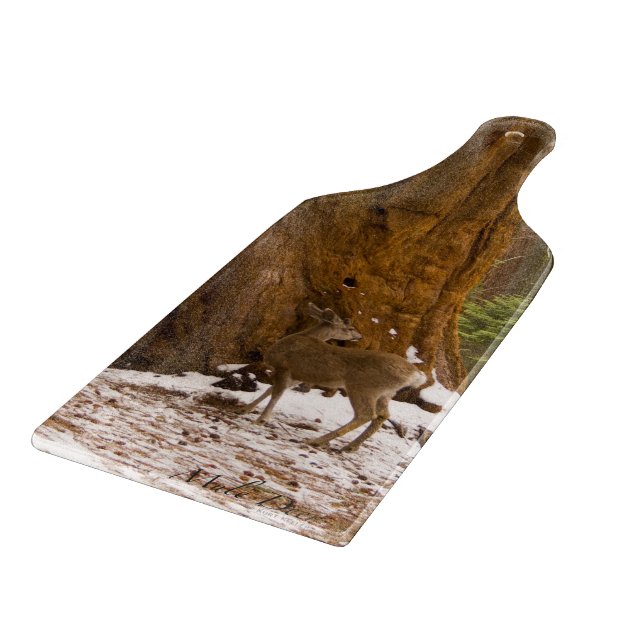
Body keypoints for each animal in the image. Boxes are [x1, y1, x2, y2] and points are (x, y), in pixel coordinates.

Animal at [238, 303, 427, 452]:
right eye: (349, 328)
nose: (359, 335)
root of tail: (416, 375)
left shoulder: (285, 367)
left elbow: (276, 393)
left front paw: (261, 419)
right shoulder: (296, 375)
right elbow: (271, 390)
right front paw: (246, 408)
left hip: (363, 388)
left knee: (365, 415)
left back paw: (316, 441)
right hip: (385, 393)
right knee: (382, 415)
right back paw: (349, 447)